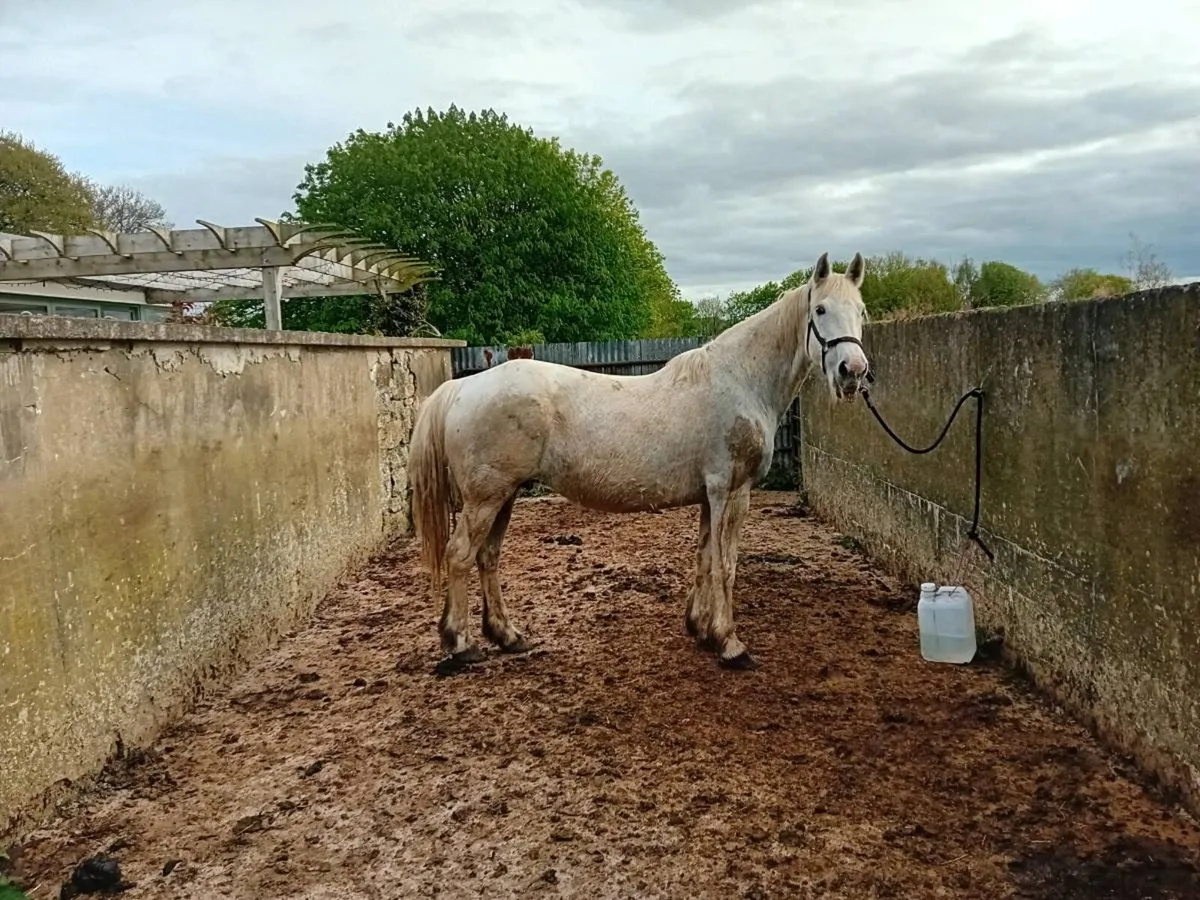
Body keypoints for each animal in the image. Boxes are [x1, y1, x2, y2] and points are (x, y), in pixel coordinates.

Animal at [409, 251, 872, 671]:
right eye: (820, 309)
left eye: (861, 311)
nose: (853, 371)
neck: (741, 381)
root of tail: (462, 388)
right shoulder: (731, 491)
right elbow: (726, 565)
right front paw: (730, 643)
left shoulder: (709, 496)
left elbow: (704, 557)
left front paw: (700, 628)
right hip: (485, 499)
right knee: (460, 555)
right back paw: (460, 645)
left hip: (503, 497)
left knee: (487, 557)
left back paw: (507, 636)